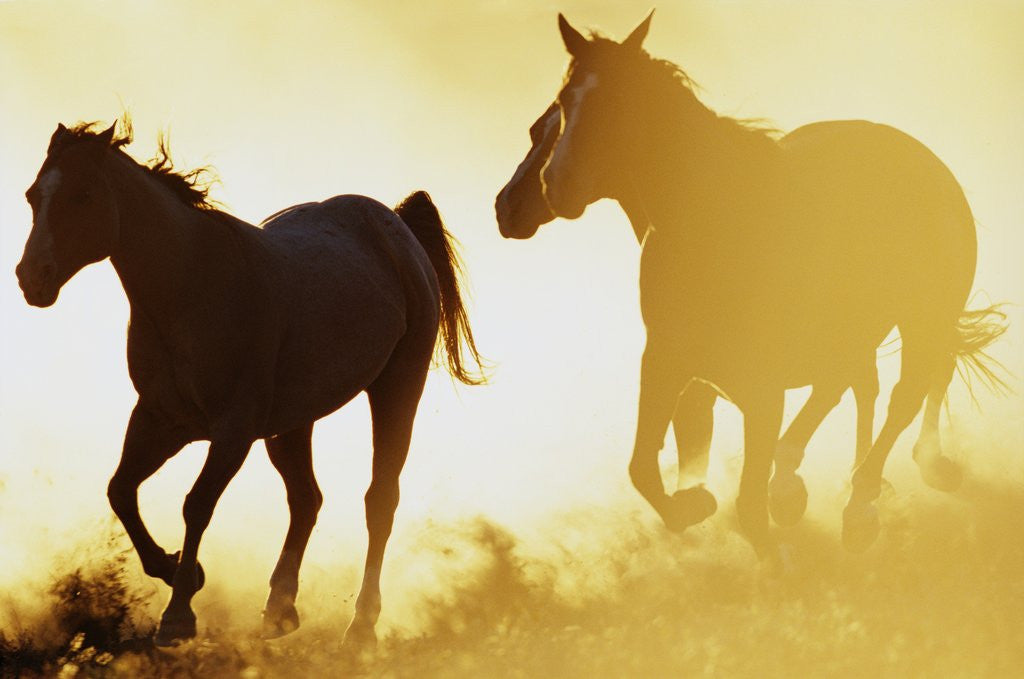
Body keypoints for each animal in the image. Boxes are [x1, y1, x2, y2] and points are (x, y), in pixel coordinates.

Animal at [15, 118, 486, 647]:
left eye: (83, 195)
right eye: (34, 195)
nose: (31, 278)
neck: (193, 287)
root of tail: (395, 224)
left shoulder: (232, 431)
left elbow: (196, 505)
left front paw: (178, 614)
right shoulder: (160, 420)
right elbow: (120, 491)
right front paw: (175, 570)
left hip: (396, 388)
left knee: (378, 500)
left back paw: (360, 627)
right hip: (292, 424)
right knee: (306, 500)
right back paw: (279, 610)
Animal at [495, 99, 885, 530]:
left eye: (557, 135)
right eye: (536, 132)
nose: (506, 207)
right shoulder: (690, 381)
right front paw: (695, 501)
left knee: (857, 388)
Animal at [537, 13, 1005, 559]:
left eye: (620, 101)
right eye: (565, 100)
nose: (557, 185)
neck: (712, 233)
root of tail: (927, 162)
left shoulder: (760, 385)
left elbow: (748, 506)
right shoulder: (665, 361)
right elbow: (643, 470)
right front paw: (695, 503)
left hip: (922, 321)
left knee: (902, 396)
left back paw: (861, 505)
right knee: (850, 386)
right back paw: (797, 486)